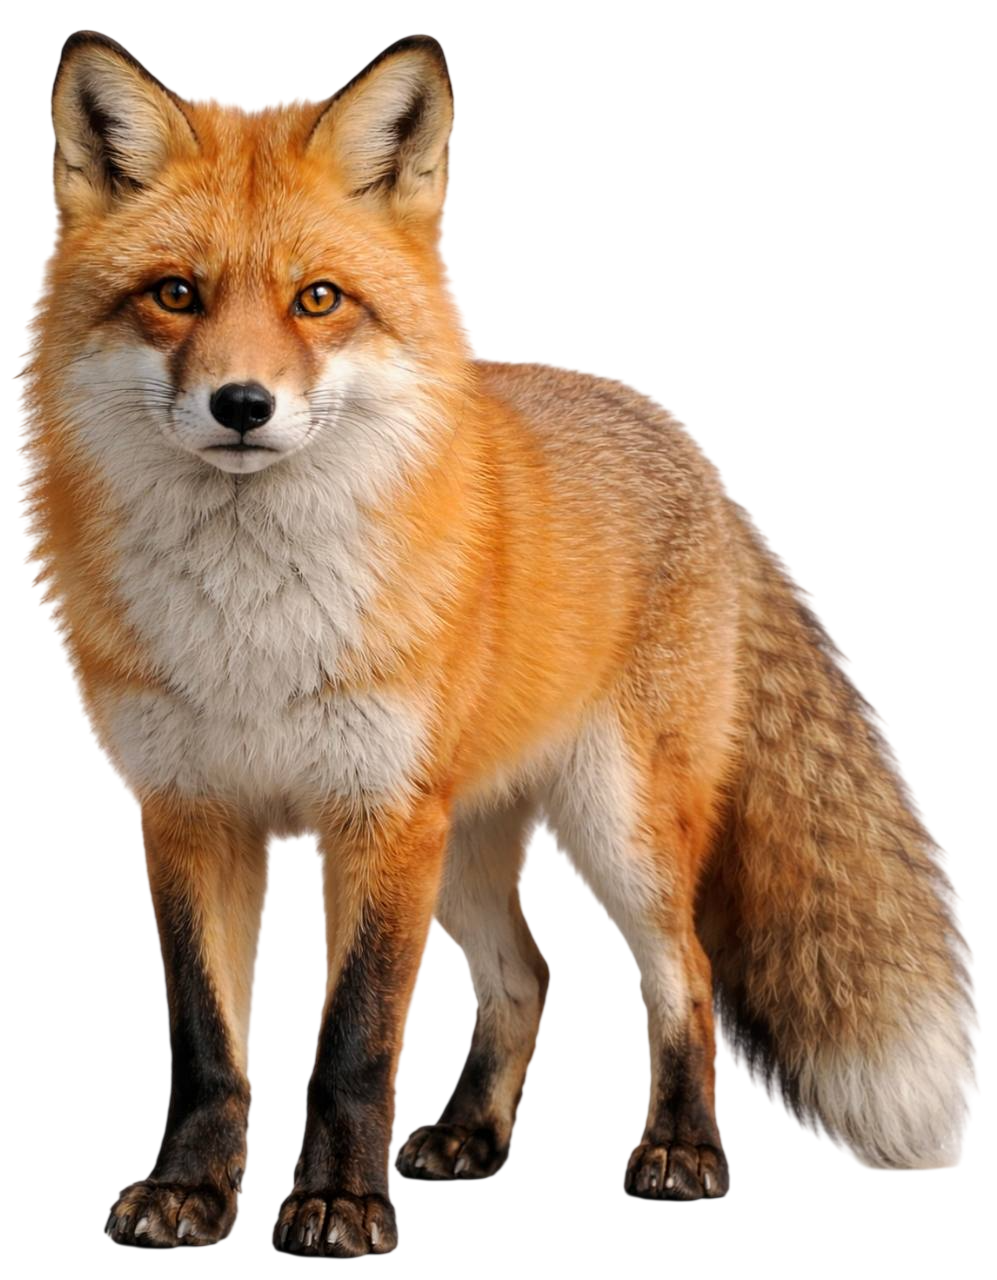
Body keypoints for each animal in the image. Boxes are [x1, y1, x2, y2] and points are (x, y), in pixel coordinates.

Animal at [17, 28, 979, 1254]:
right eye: (175, 295)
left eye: (317, 299)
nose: (241, 404)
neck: (252, 633)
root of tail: (688, 445)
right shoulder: (192, 813)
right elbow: (209, 1046)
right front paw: (192, 1190)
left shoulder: (377, 815)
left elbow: (355, 1039)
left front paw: (339, 1205)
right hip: (467, 850)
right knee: (528, 973)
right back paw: (472, 1132)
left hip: (612, 829)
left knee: (684, 974)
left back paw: (681, 1150)